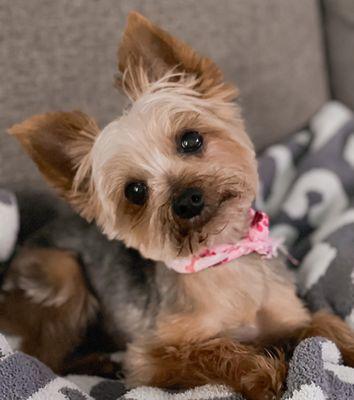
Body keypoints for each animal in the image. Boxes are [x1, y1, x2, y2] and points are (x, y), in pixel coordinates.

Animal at [0, 12, 354, 400]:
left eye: (191, 140)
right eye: (135, 191)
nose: (187, 200)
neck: (220, 259)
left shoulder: (289, 316)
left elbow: (324, 326)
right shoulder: (151, 358)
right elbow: (211, 350)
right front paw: (263, 374)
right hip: (62, 274)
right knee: (45, 356)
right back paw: (98, 362)